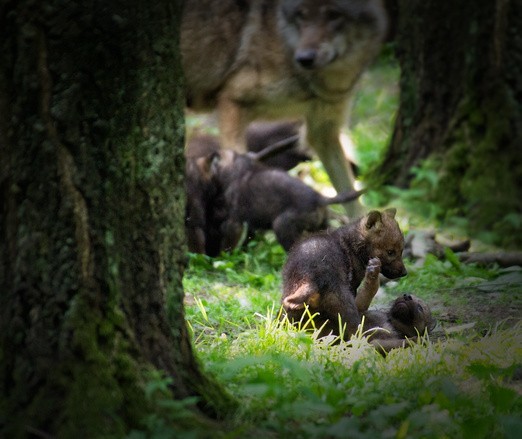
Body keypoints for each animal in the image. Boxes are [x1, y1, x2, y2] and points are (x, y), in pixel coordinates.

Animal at [180, 0, 386, 217]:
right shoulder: (232, 102)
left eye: (333, 15)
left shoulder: (323, 132)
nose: (304, 58)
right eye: (301, 15)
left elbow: (351, 195)